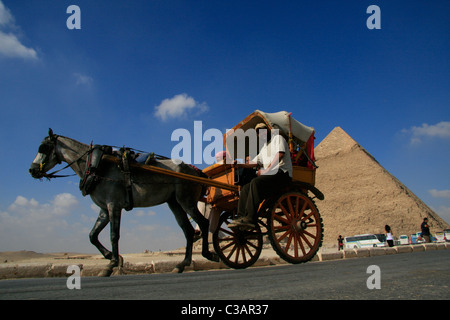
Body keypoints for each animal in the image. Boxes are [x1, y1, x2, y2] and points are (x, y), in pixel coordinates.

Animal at [29, 127, 219, 276]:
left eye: (43, 147)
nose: (32, 170)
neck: (98, 165)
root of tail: (197, 172)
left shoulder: (114, 205)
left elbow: (114, 235)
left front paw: (111, 264)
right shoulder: (104, 209)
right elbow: (92, 235)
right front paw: (111, 257)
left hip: (186, 200)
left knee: (202, 223)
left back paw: (208, 254)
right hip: (174, 203)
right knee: (188, 230)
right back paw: (182, 264)